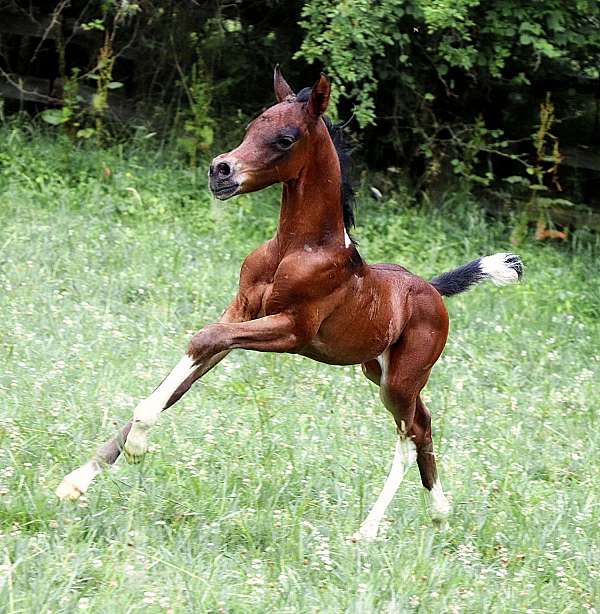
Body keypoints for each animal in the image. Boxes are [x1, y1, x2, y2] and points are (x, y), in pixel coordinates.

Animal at [58, 67, 524, 544]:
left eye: (285, 138)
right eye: (251, 127)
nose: (220, 171)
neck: (295, 248)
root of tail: (431, 289)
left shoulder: (292, 330)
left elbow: (204, 338)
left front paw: (136, 444)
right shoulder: (241, 313)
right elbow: (188, 373)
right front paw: (77, 481)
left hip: (400, 380)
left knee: (408, 435)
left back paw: (368, 530)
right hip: (380, 371)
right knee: (423, 424)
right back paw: (440, 513)